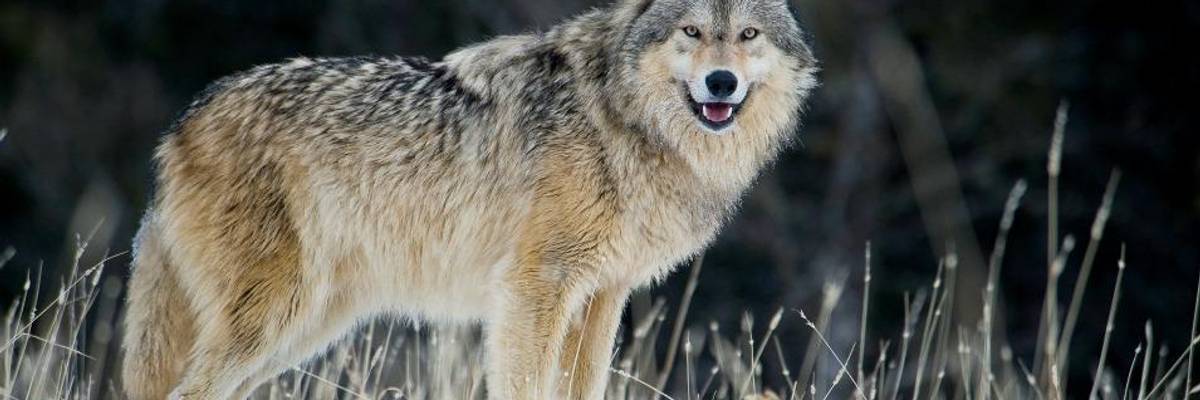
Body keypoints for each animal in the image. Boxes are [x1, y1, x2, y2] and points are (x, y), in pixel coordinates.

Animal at [120, 0, 817, 398]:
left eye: (748, 34)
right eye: (691, 31)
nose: (720, 82)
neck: (620, 120)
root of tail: (178, 127)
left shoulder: (601, 296)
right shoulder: (534, 288)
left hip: (303, 329)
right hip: (272, 319)